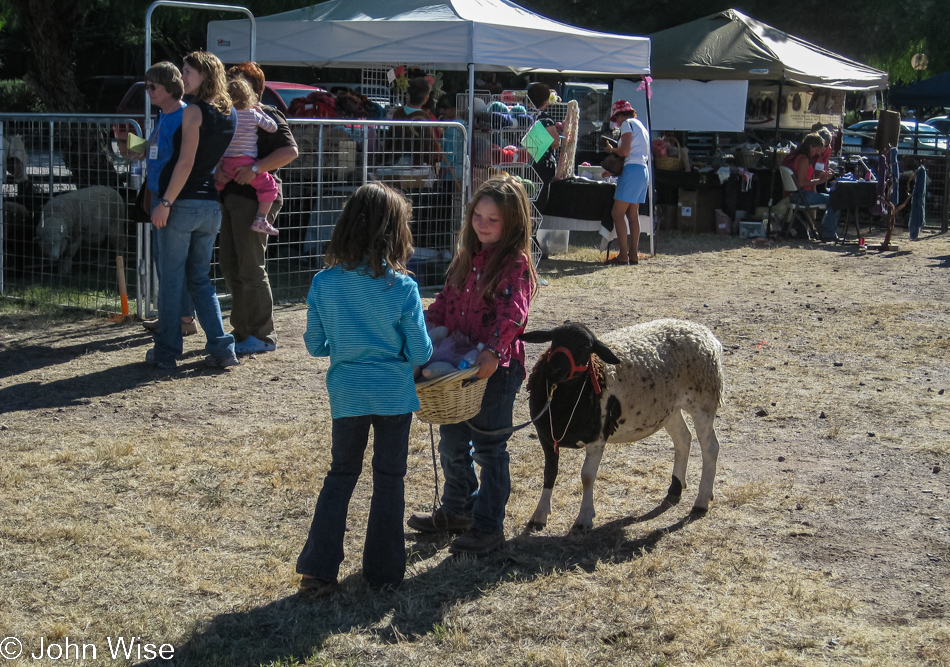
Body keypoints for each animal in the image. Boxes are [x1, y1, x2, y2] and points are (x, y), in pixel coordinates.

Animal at [516, 318, 724, 532]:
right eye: (554, 340)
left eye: (585, 347)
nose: (554, 370)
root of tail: (704, 332)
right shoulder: (547, 437)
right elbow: (549, 473)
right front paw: (539, 516)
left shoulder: (597, 438)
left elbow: (587, 477)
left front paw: (584, 519)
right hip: (669, 409)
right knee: (683, 439)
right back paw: (675, 490)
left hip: (704, 401)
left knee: (710, 448)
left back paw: (701, 502)